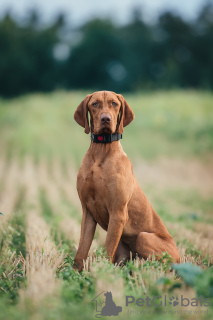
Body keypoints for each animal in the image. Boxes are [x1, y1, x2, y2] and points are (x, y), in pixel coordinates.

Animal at [73, 91, 180, 272]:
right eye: (94, 104)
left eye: (114, 103)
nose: (106, 119)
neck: (101, 151)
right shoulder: (87, 211)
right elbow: (82, 249)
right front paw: (74, 274)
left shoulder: (118, 212)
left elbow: (108, 248)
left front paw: (102, 274)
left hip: (144, 237)